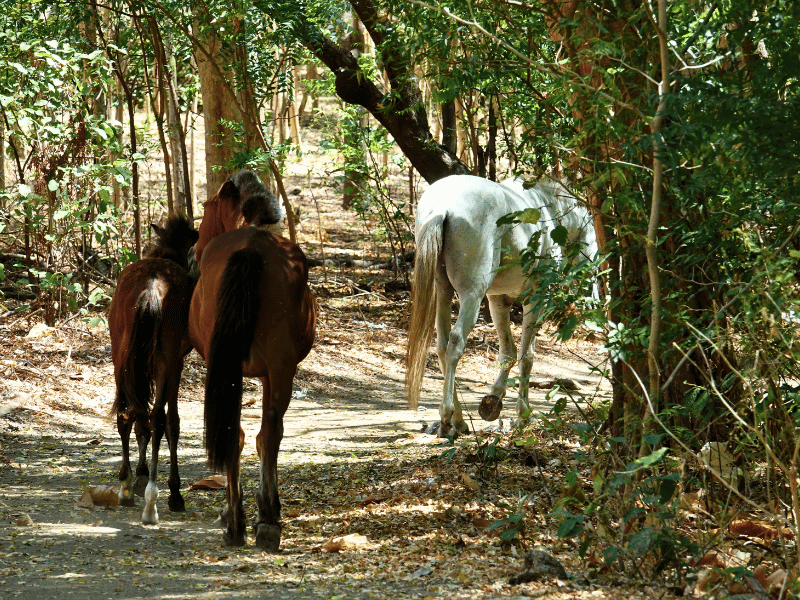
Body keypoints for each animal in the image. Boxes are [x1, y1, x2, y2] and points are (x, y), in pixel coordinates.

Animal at [109, 215, 199, 524]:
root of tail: (151, 288)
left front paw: (138, 475)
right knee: (160, 418)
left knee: (126, 412)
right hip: (165, 360)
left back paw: (125, 487)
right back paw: (155, 500)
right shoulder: (176, 363)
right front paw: (172, 490)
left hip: (121, 354)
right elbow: (170, 422)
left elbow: (140, 418)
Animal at [188, 173, 315, 551]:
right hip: (280, 366)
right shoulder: (269, 374)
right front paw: (264, 507)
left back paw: (238, 521)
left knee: (241, 434)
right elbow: (266, 436)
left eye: (207, 206)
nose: (193, 250)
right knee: (267, 430)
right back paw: (267, 523)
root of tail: (251, 249)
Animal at [406, 174, 562, 439]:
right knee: (456, 342)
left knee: (442, 345)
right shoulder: (535, 297)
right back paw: (447, 419)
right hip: (472, 295)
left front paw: (493, 401)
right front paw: (522, 414)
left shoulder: (498, 300)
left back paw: (457, 420)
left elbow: (508, 352)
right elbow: (526, 355)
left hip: (443, 292)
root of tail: (442, 207)